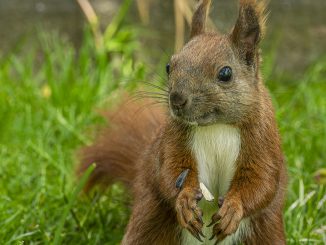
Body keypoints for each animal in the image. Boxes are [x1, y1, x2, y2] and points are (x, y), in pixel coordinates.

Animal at [79, 0, 288, 243]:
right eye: (169, 66)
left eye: (225, 73)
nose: (177, 99)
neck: (215, 127)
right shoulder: (174, 138)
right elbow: (170, 170)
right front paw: (185, 200)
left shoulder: (262, 139)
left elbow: (261, 181)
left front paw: (233, 208)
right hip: (149, 220)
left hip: (265, 232)